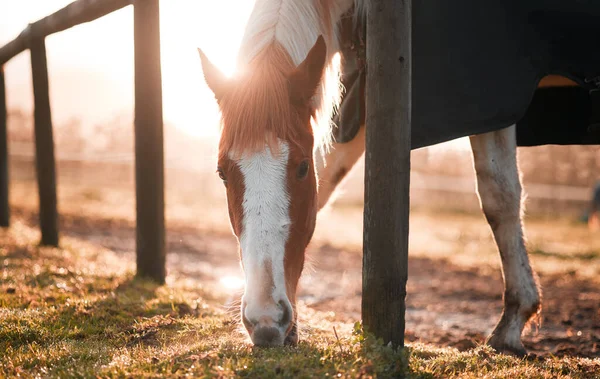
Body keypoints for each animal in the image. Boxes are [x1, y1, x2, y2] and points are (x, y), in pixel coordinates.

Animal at [199, 0, 540, 356]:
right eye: (222, 173)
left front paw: (512, 324)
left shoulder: (491, 105)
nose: (265, 320)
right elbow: (326, 185)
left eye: (303, 167)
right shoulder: (357, 99)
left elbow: (499, 195)